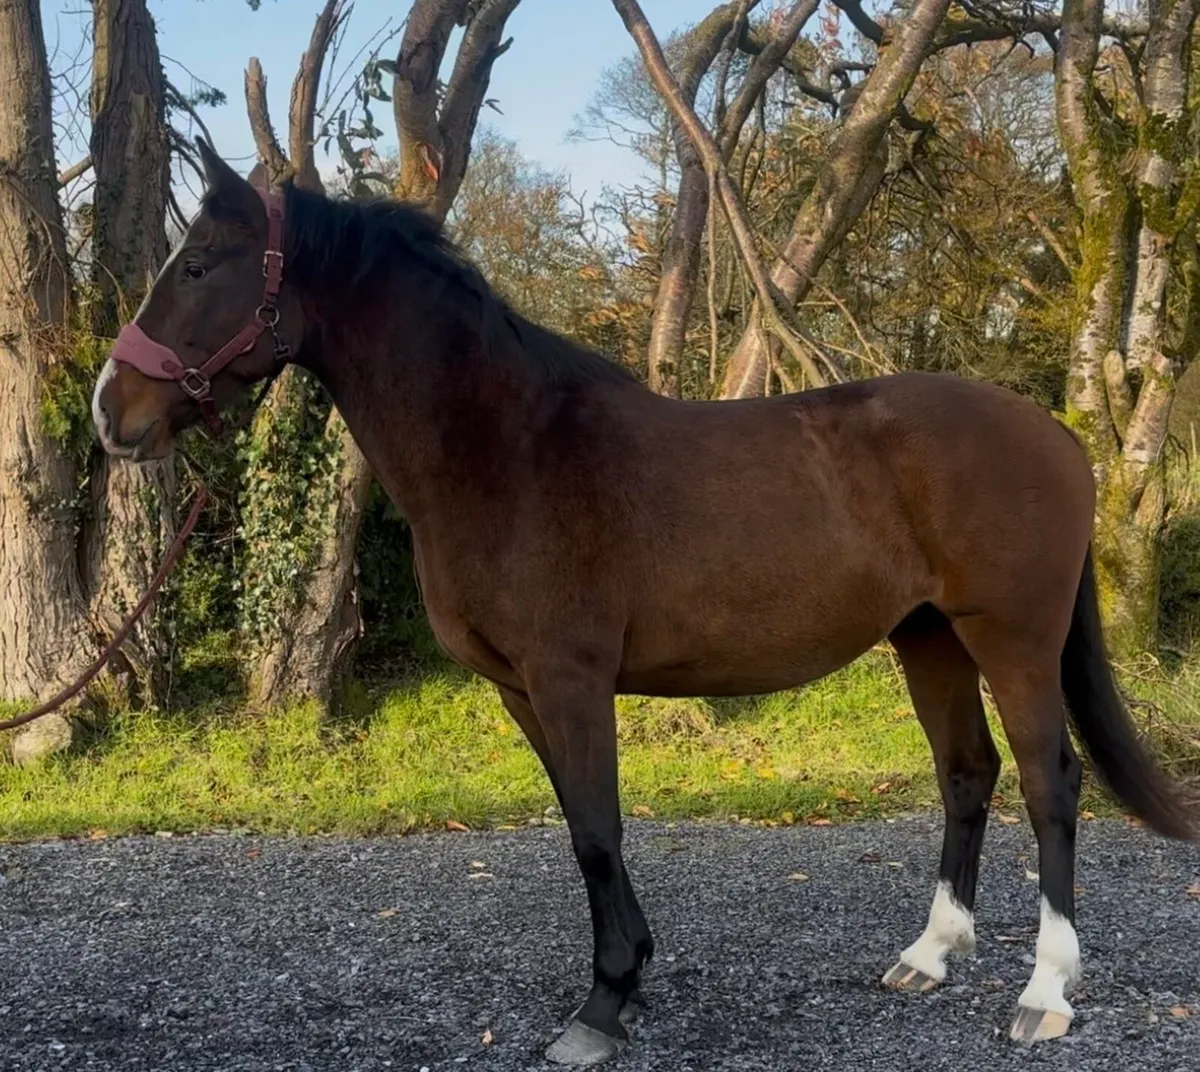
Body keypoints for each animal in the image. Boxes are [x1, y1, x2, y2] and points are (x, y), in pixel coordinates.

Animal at [91, 137, 1197, 1065]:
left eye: (197, 267)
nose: (111, 411)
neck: (511, 451)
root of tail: (1059, 439)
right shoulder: (523, 692)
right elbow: (586, 831)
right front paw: (627, 978)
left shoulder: (570, 680)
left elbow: (596, 831)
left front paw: (602, 1003)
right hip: (927, 639)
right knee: (967, 773)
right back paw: (928, 956)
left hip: (1010, 639)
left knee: (1050, 784)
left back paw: (1045, 993)